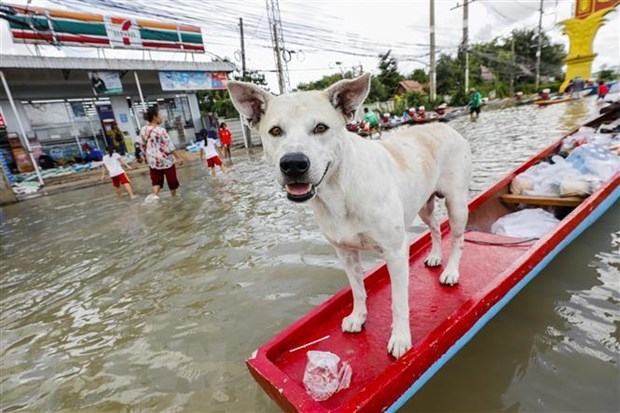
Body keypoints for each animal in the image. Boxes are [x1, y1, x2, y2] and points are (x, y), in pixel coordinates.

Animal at [230, 72, 472, 356]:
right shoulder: (344, 251)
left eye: (320, 128)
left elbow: (399, 302)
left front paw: (401, 338)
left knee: (458, 238)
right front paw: (358, 317)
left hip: (457, 204)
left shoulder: (395, 252)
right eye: (276, 131)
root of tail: (445, 127)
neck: (339, 191)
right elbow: (357, 289)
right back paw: (434, 256)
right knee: (434, 226)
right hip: (423, 205)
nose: (293, 164)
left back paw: (451, 272)